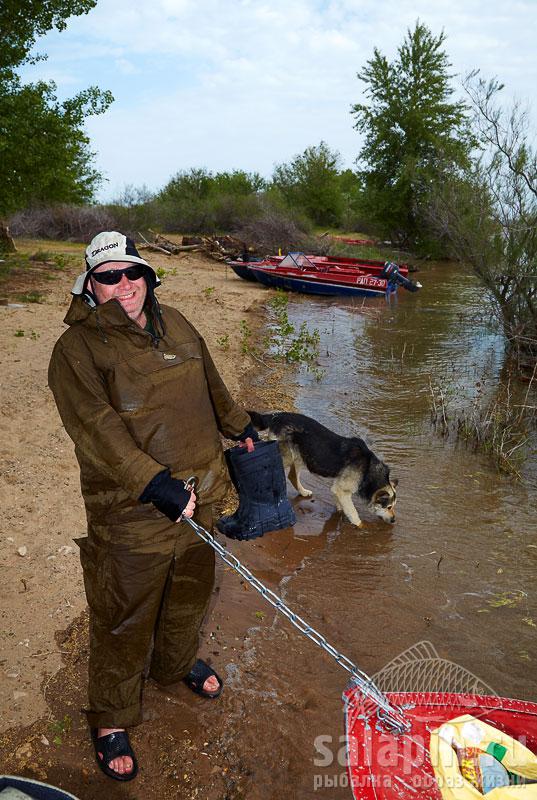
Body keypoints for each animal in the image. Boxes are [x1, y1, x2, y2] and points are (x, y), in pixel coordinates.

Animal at [246, 410, 394, 528]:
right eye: (389, 507)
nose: (394, 520)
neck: (369, 468)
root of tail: (277, 416)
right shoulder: (343, 491)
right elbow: (353, 512)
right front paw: (361, 526)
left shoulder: (338, 488)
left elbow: (341, 504)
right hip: (286, 456)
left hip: (301, 455)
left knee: (292, 476)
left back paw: (303, 492)